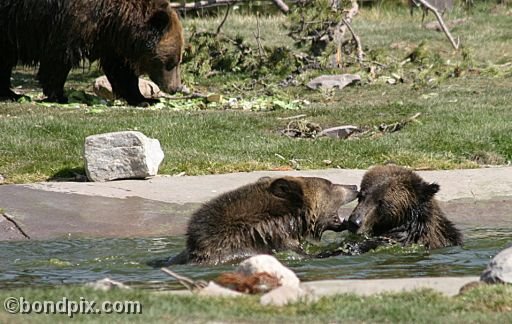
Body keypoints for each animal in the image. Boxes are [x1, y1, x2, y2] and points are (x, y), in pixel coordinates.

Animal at [0, 0, 184, 105]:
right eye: (171, 63)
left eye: (178, 61)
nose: (175, 88)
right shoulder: (72, 19)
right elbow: (60, 56)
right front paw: (59, 95)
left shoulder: (108, 36)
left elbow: (121, 70)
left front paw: (144, 99)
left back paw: (10, 94)